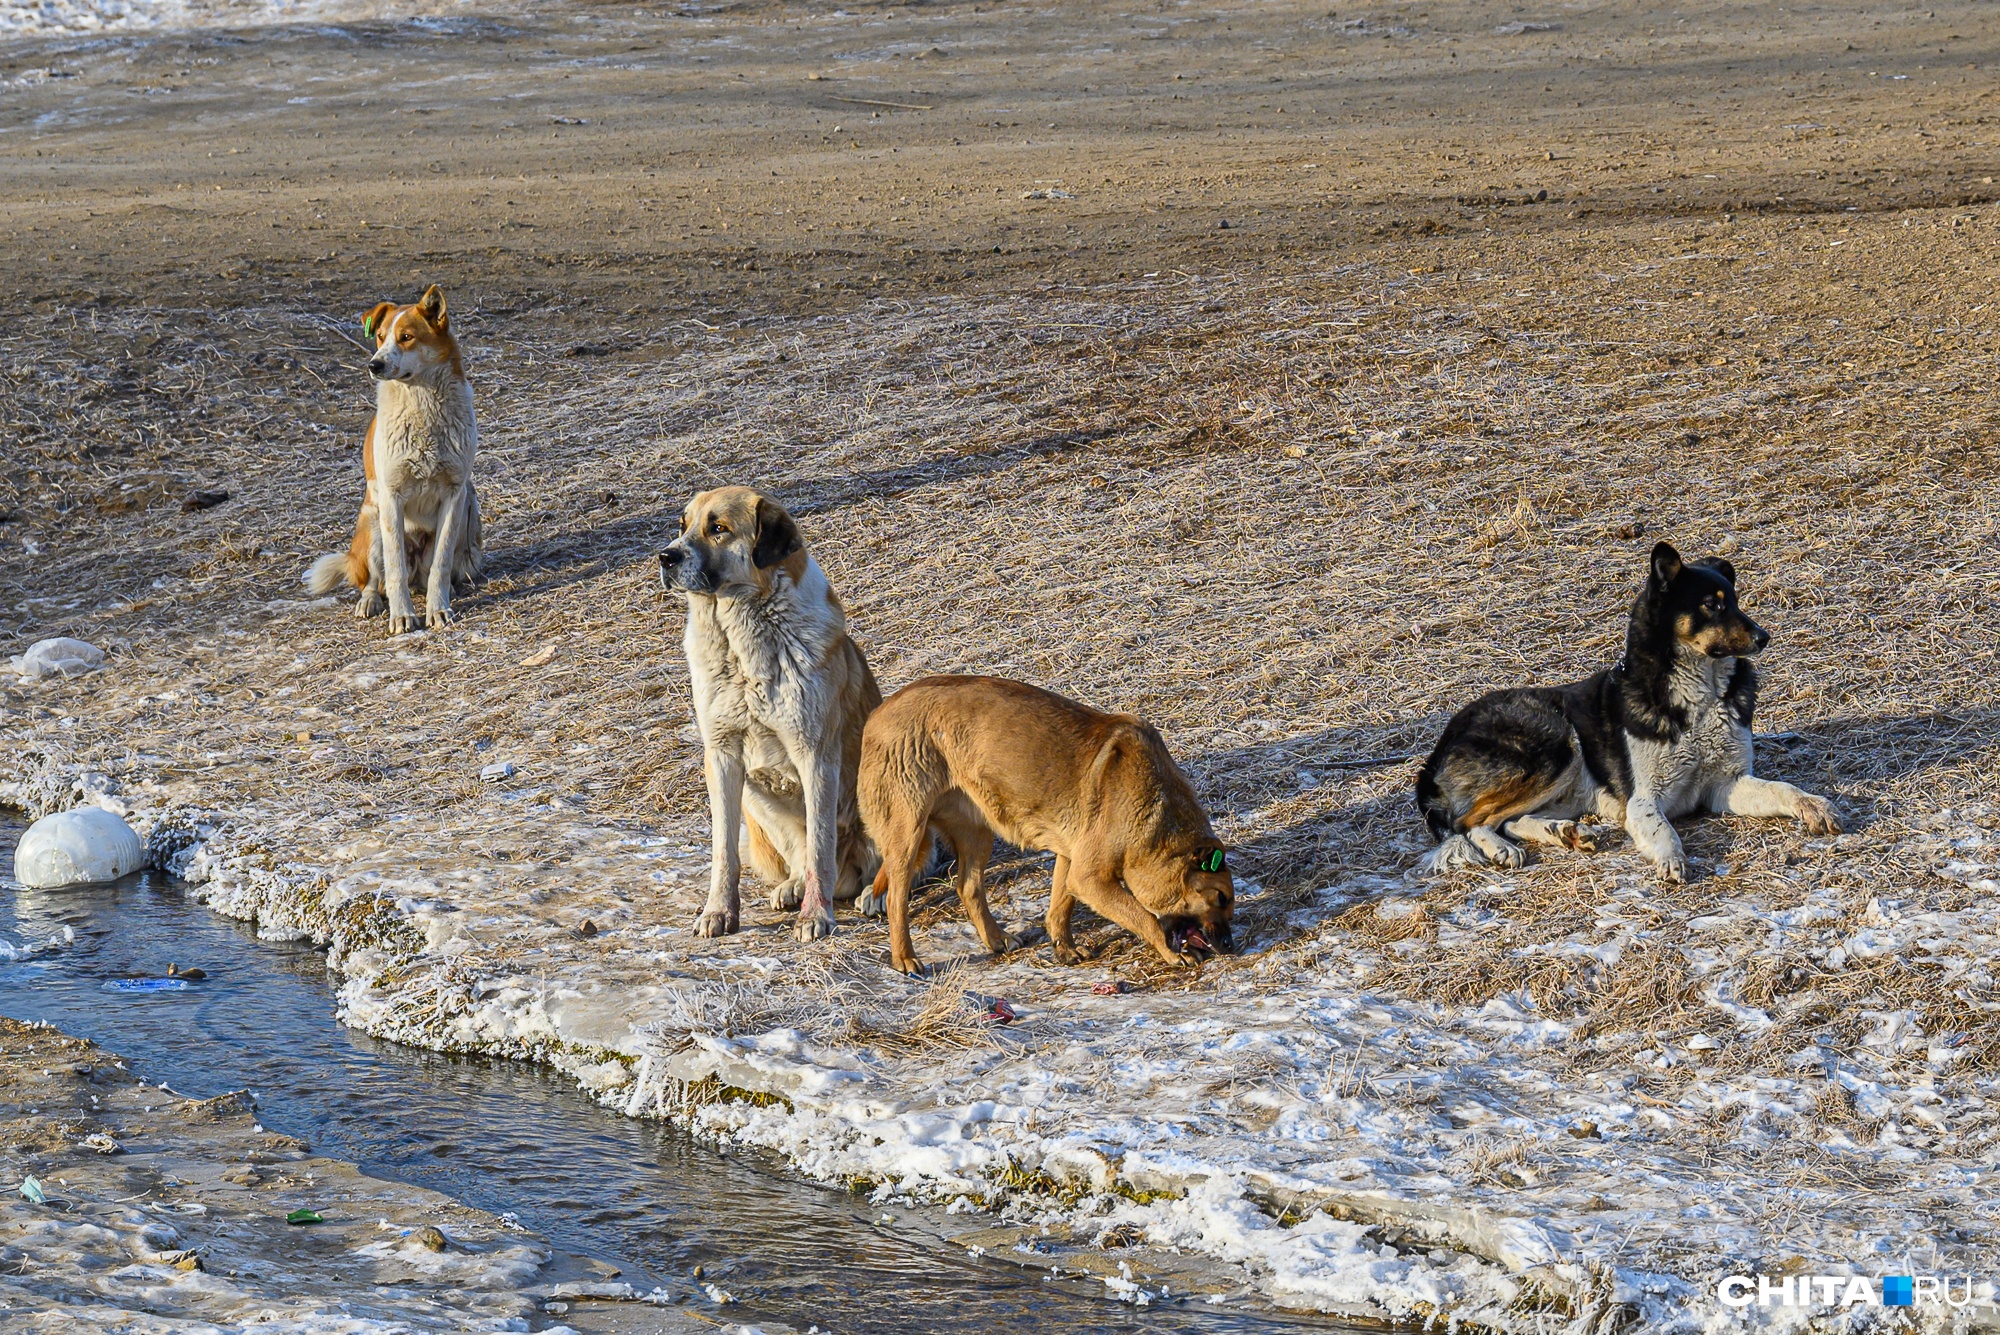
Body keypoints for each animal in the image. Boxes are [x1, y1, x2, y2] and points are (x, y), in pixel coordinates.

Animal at [308, 283, 488, 635]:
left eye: (406, 337)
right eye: (379, 336)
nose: (374, 365)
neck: (421, 405)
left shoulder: (455, 494)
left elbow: (441, 564)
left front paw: (439, 608)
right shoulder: (392, 496)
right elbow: (394, 570)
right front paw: (402, 615)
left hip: (470, 512)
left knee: (437, 570)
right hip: (373, 521)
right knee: (374, 580)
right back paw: (370, 602)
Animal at [660, 487, 880, 939]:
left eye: (719, 528)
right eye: (682, 526)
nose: (665, 557)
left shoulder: (816, 755)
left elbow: (820, 846)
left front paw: (816, 916)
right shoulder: (722, 754)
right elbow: (724, 850)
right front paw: (718, 912)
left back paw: (875, 893)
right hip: (756, 796)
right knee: (799, 857)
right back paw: (792, 886)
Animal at [860, 679, 1232, 971]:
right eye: (1220, 898)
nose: (1231, 946)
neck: (1158, 812)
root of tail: (875, 715)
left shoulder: (1071, 860)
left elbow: (1060, 907)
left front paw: (1064, 948)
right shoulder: (1090, 877)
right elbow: (1144, 917)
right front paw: (1171, 952)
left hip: (977, 833)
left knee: (968, 887)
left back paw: (997, 939)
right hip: (908, 835)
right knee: (896, 899)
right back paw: (904, 958)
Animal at [1416, 535, 1832, 879]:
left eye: (1734, 601)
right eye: (1711, 605)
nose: (1764, 637)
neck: (1699, 699)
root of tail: (1439, 749)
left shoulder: (1726, 784)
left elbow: (1783, 788)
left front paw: (1814, 806)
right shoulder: (1644, 799)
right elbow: (1663, 828)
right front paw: (1671, 858)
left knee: (1511, 821)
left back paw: (1566, 833)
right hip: (1555, 745)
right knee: (1468, 822)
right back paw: (1502, 849)